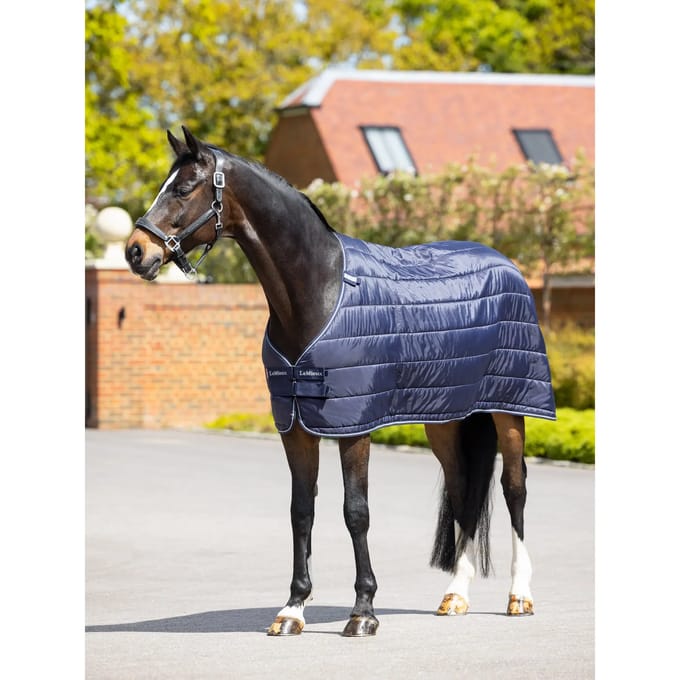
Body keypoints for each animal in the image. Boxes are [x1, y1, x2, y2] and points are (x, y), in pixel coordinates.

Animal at [125, 126, 555, 637]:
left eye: (184, 188)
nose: (136, 251)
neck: (319, 291)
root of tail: (505, 262)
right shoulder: (295, 426)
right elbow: (301, 511)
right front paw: (292, 609)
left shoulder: (353, 426)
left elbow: (356, 512)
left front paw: (363, 611)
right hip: (445, 418)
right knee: (462, 489)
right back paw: (455, 596)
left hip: (510, 408)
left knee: (514, 488)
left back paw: (520, 596)